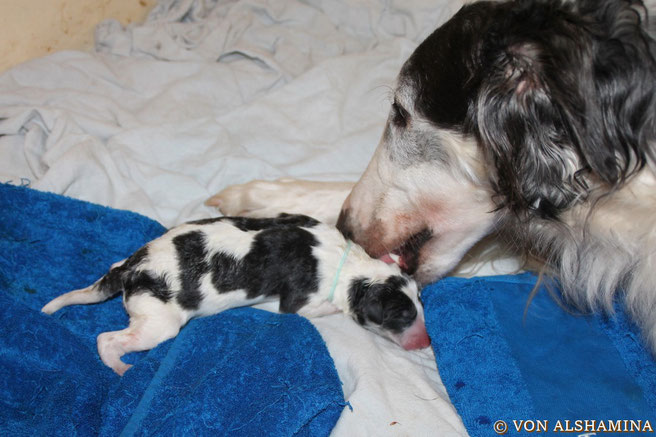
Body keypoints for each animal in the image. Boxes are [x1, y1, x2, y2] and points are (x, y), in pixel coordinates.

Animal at [42, 213, 430, 372]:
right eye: (402, 316)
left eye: (421, 303)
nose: (426, 342)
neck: (347, 263)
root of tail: (131, 270)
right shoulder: (300, 304)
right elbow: (323, 308)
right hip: (157, 323)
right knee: (107, 339)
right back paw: (120, 367)